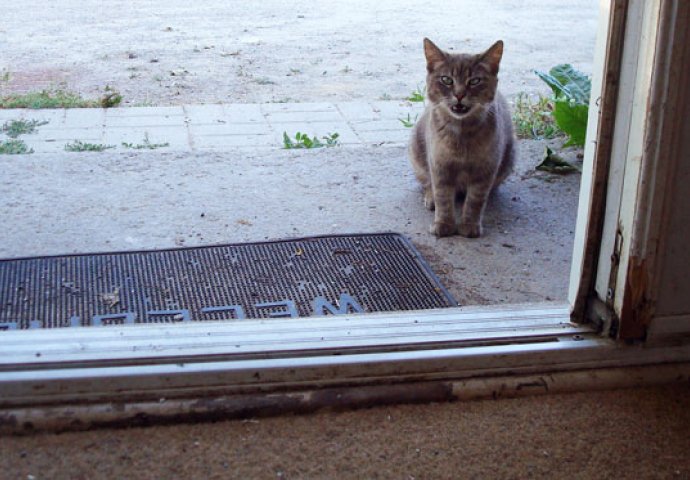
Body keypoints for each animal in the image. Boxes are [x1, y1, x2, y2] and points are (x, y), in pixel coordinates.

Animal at [408, 38, 510, 237]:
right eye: (446, 80)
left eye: (475, 81)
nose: (459, 94)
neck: (462, 135)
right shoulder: (440, 166)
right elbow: (443, 197)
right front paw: (443, 224)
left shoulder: (485, 170)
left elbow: (475, 201)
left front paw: (469, 225)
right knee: (426, 183)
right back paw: (430, 198)